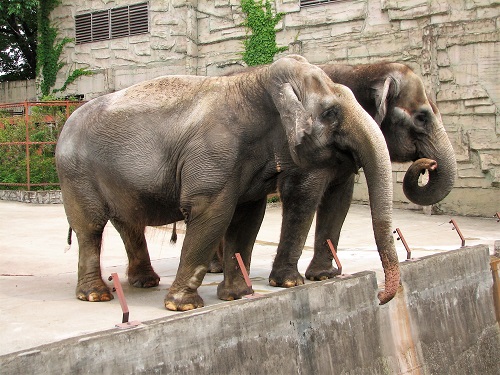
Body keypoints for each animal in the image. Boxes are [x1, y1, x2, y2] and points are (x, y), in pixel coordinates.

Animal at [55, 54, 398, 312]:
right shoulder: (213, 154)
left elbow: (247, 218)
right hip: (76, 174)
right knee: (91, 228)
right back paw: (96, 296)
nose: (380, 296)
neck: (257, 80)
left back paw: (145, 283)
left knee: (128, 223)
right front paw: (183, 306)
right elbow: (211, 215)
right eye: (330, 112)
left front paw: (237, 296)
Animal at [266, 63, 458, 290]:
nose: (429, 164)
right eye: (422, 117)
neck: (362, 69)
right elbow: (303, 195)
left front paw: (323, 276)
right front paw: (288, 282)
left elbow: (339, 199)